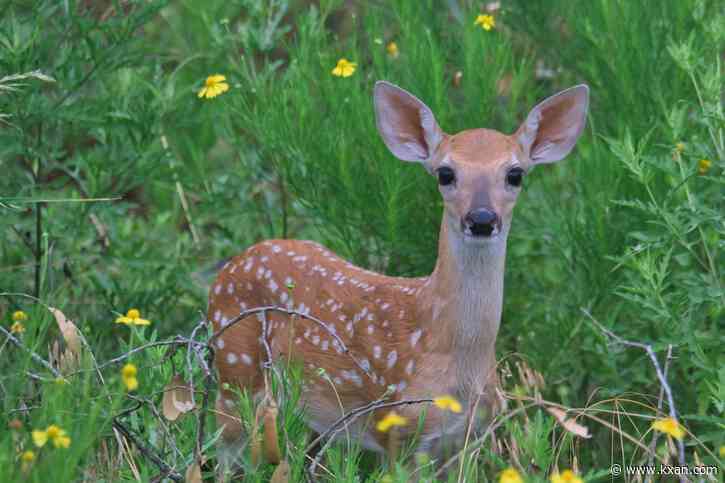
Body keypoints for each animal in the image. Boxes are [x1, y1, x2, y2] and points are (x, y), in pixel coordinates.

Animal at [208, 81, 589, 469]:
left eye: (515, 174)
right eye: (445, 173)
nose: (481, 218)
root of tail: (232, 264)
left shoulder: (471, 437)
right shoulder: (399, 428)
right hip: (234, 376)